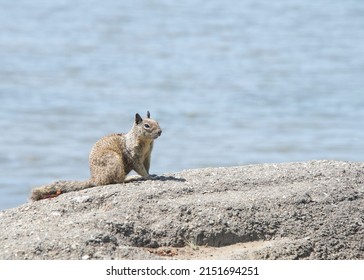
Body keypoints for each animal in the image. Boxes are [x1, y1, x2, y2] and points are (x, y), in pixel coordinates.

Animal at [30, 111, 161, 201]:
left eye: (157, 122)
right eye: (147, 125)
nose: (160, 132)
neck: (146, 143)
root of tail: (95, 178)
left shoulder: (147, 156)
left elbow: (146, 167)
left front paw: (151, 174)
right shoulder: (133, 155)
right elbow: (139, 168)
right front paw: (148, 177)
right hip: (114, 160)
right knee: (114, 180)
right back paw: (129, 179)